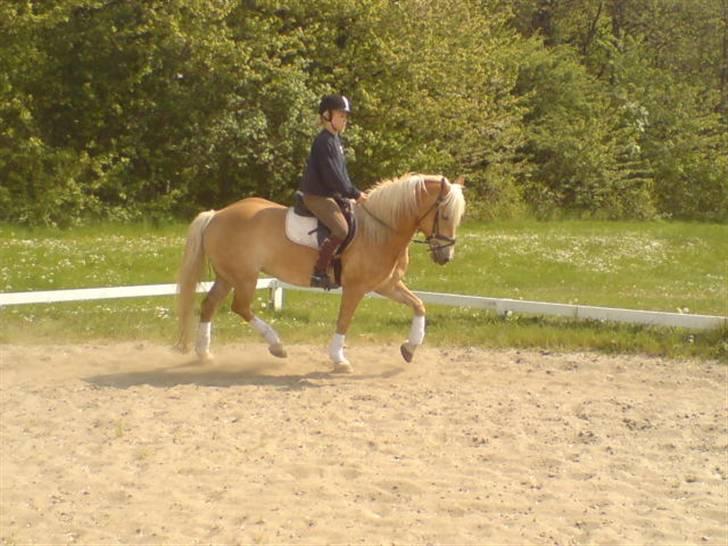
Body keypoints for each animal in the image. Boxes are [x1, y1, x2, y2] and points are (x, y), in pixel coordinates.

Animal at [179, 172, 470, 372]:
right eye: (444, 215)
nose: (445, 257)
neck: (380, 230)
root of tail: (216, 215)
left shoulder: (387, 285)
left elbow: (419, 305)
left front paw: (409, 348)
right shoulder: (355, 287)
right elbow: (344, 321)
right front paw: (339, 360)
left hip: (227, 276)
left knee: (209, 305)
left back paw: (204, 354)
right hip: (245, 277)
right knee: (240, 307)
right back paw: (277, 345)